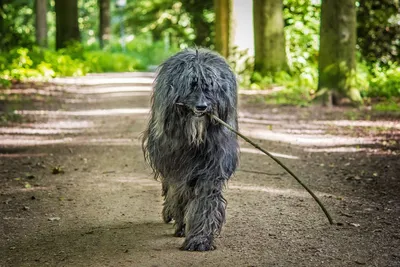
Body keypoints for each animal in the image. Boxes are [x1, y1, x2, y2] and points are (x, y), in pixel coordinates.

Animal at [143, 47, 239, 251]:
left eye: (210, 86)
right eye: (191, 85)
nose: (202, 107)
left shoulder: (211, 166)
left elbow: (205, 199)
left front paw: (200, 239)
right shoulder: (176, 166)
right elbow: (178, 192)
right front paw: (181, 224)